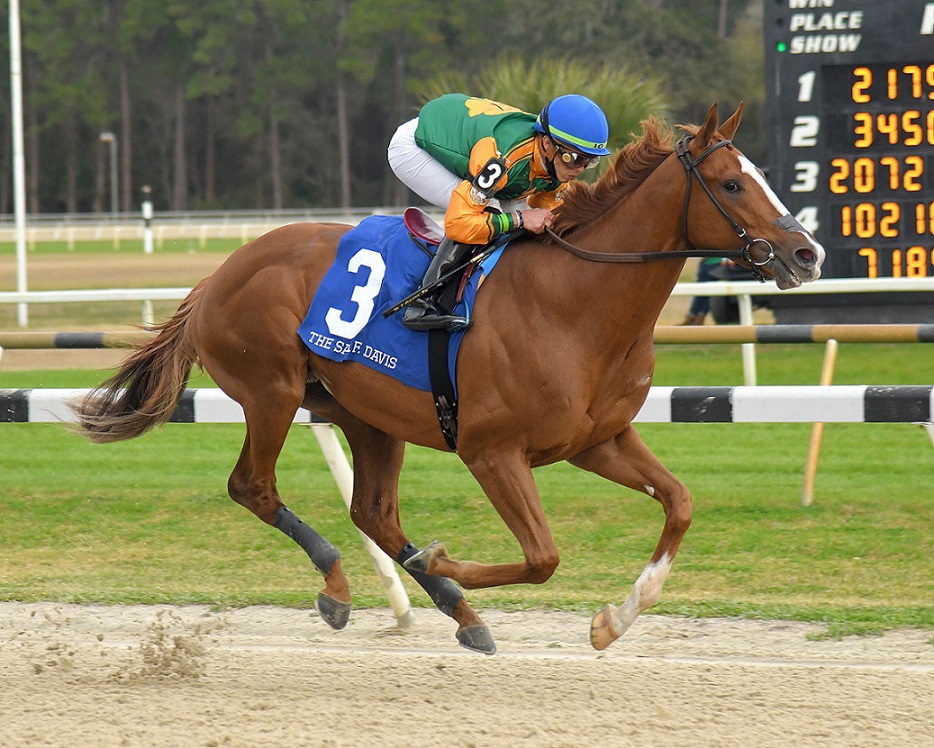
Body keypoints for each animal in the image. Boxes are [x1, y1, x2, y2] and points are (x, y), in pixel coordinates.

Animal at [72, 103, 824, 654]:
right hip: (272, 391)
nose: (806, 252)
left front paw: (616, 619)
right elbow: (543, 556)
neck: (576, 302)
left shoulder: (597, 440)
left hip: (364, 413)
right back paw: (343, 587)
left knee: (372, 511)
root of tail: (218, 274)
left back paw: (459, 612)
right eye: (731, 184)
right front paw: (441, 560)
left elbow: (680, 504)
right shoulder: (492, 451)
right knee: (253, 487)